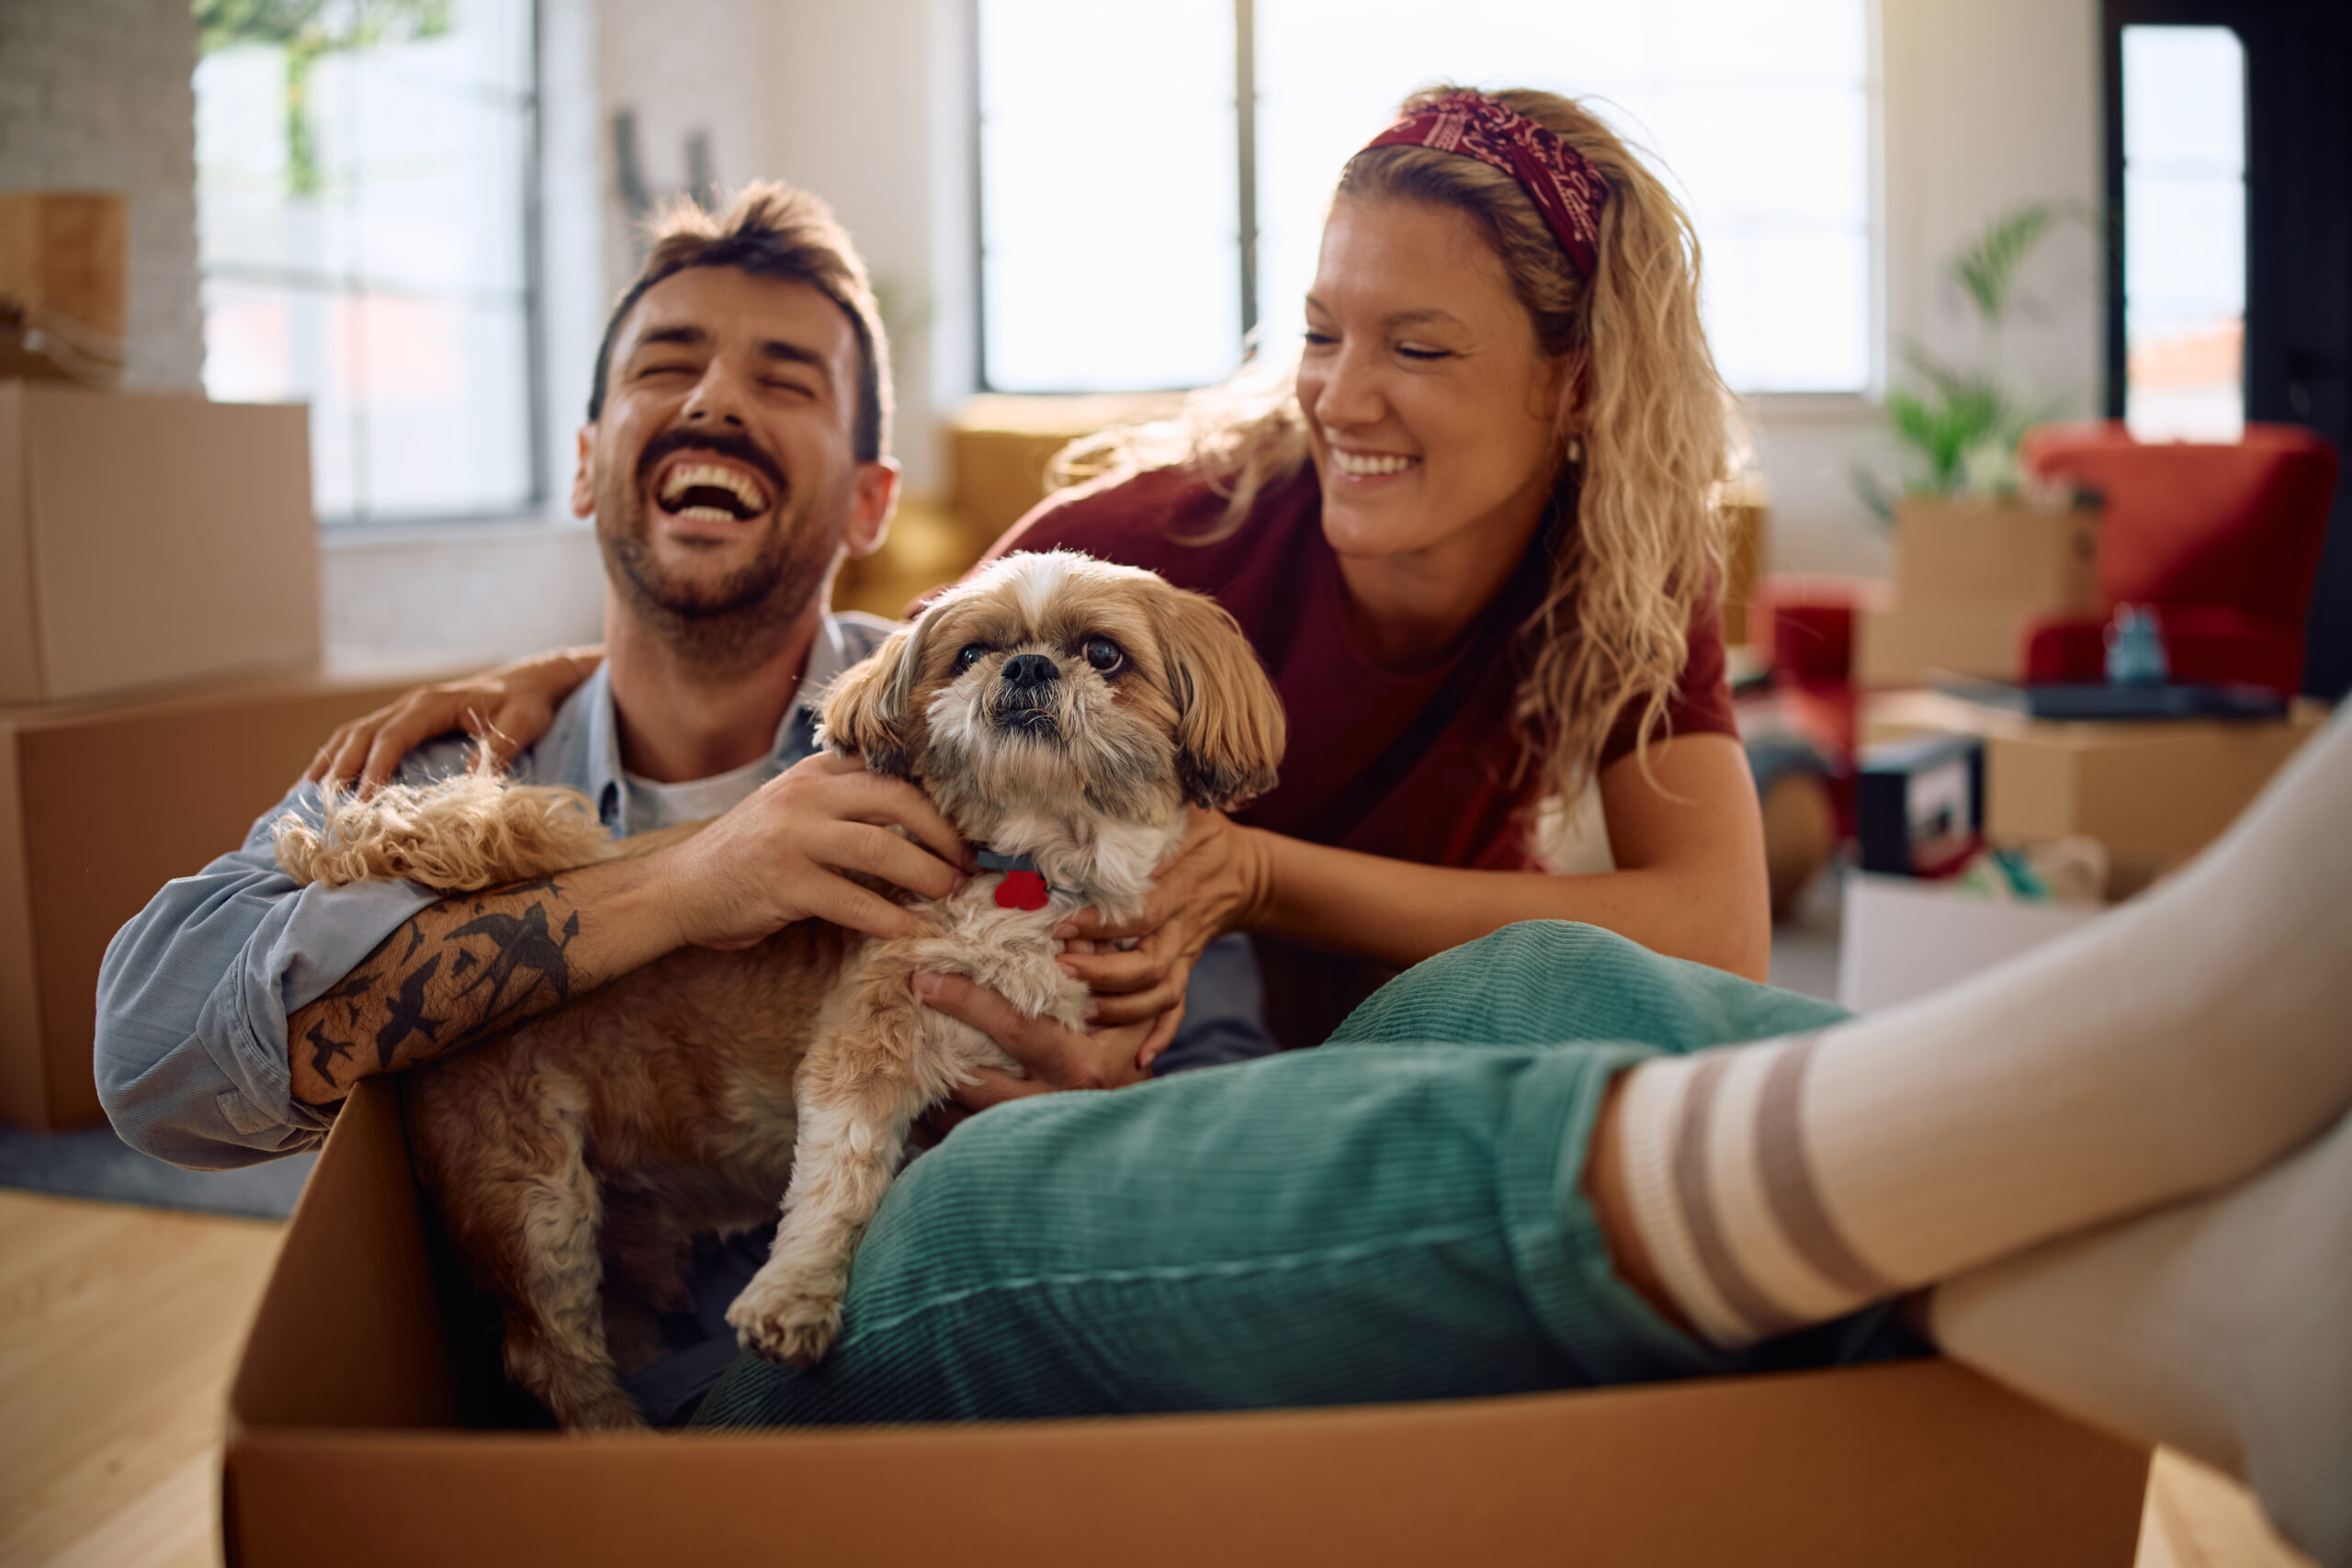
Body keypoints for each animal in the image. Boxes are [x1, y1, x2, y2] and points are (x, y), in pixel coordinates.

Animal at [275, 554, 1288, 1438]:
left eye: (1105, 654)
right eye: (970, 653)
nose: (1028, 665)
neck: (1032, 871)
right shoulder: (870, 1034)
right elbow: (837, 1180)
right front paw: (794, 1298)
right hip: (530, 1198)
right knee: (549, 1356)